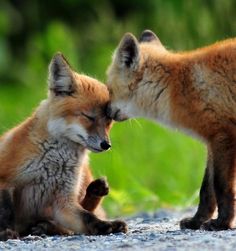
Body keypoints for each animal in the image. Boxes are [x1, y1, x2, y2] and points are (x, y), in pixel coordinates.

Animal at [0, 52, 127, 237]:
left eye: (108, 121)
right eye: (89, 117)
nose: (106, 145)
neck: (55, 161)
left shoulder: (63, 200)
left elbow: (87, 217)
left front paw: (106, 226)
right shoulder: (5, 180)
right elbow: (6, 212)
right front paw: (5, 232)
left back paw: (46, 226)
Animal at [107, 29, 236, 231]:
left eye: (109, 90)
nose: (105, 111)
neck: (178, 86)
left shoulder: (223, 136)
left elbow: (221, 187)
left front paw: (222, 222)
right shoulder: (211, 142)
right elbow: (206, 190)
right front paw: (196, 221)